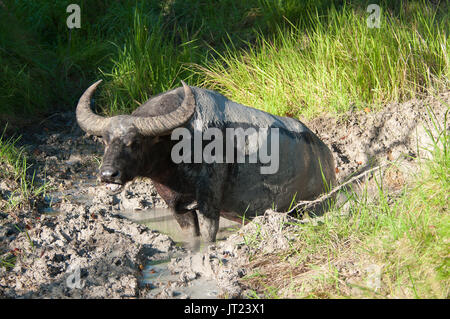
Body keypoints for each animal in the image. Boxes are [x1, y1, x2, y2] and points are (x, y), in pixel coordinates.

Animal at [75, 80, 334, 242]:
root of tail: (326, 155)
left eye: (135, 141)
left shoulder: (209, 203)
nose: (108, 174)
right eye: (105, 140)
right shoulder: (178, 208)